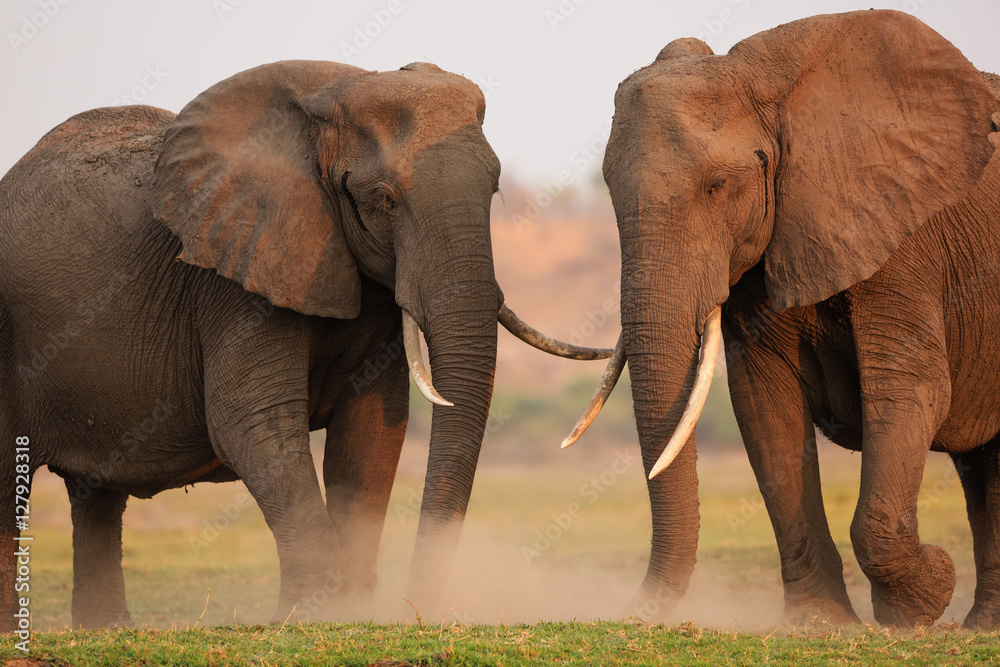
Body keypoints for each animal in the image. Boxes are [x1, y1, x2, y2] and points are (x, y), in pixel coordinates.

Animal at [0, 60, 609, 629]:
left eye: (495, 189)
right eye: (384, 199)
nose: (417, 604)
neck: (328, 102)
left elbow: (371, 430)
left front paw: (354, 614)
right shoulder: (235, 269)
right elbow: (253, 424)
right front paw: (310, 616)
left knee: (96, 495)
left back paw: (105, 630)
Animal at [566, 11, 1000, 627]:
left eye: (718, 186)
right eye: (608, 191)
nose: (633, 612)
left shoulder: (903, 236)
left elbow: (908, 389)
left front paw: (921, 599)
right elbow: (766, 404)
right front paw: (822, 624)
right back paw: (984, 623)